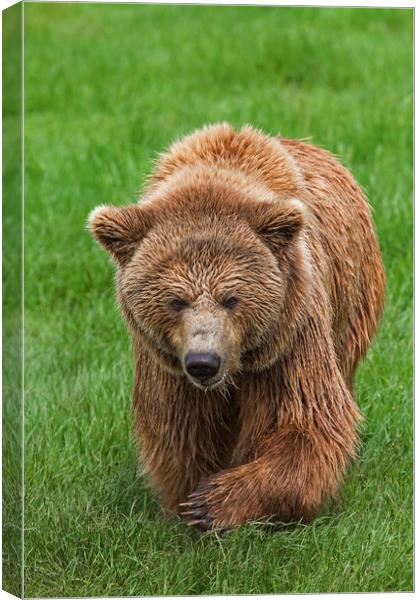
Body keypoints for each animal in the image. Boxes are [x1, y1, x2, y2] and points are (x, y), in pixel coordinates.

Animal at [90, 123, 386, 528]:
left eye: (232, 298)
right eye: (176, 300)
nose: (204, 362)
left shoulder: (289, 336)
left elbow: (307, 424)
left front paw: (212, 502)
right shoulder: (167, 363)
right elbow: (181, 431)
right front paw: (187, 499)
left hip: (352, 302)